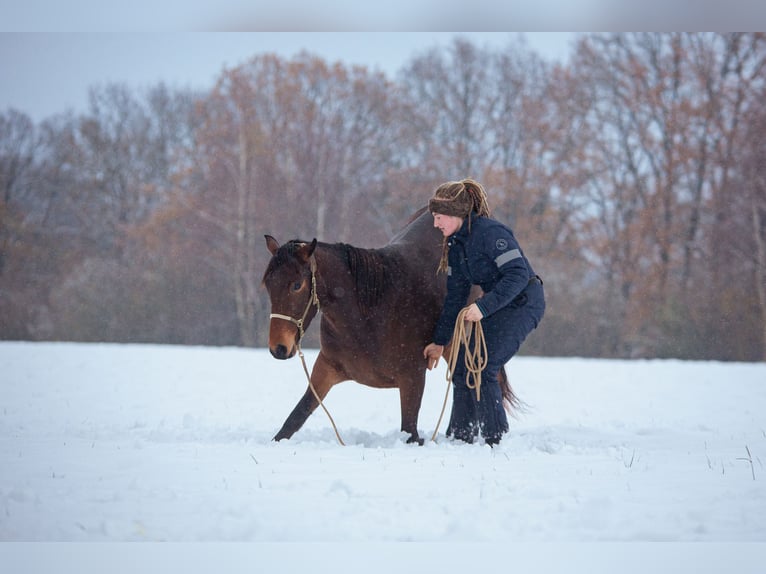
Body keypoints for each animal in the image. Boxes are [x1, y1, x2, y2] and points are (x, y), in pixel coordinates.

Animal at [260, 207, 520, 446]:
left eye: (297, 285)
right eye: (268, 284)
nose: (278, 348)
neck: (370, 313)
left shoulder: (412, 378)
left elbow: (410, 432)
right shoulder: (326, 368)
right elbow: (295, 418)